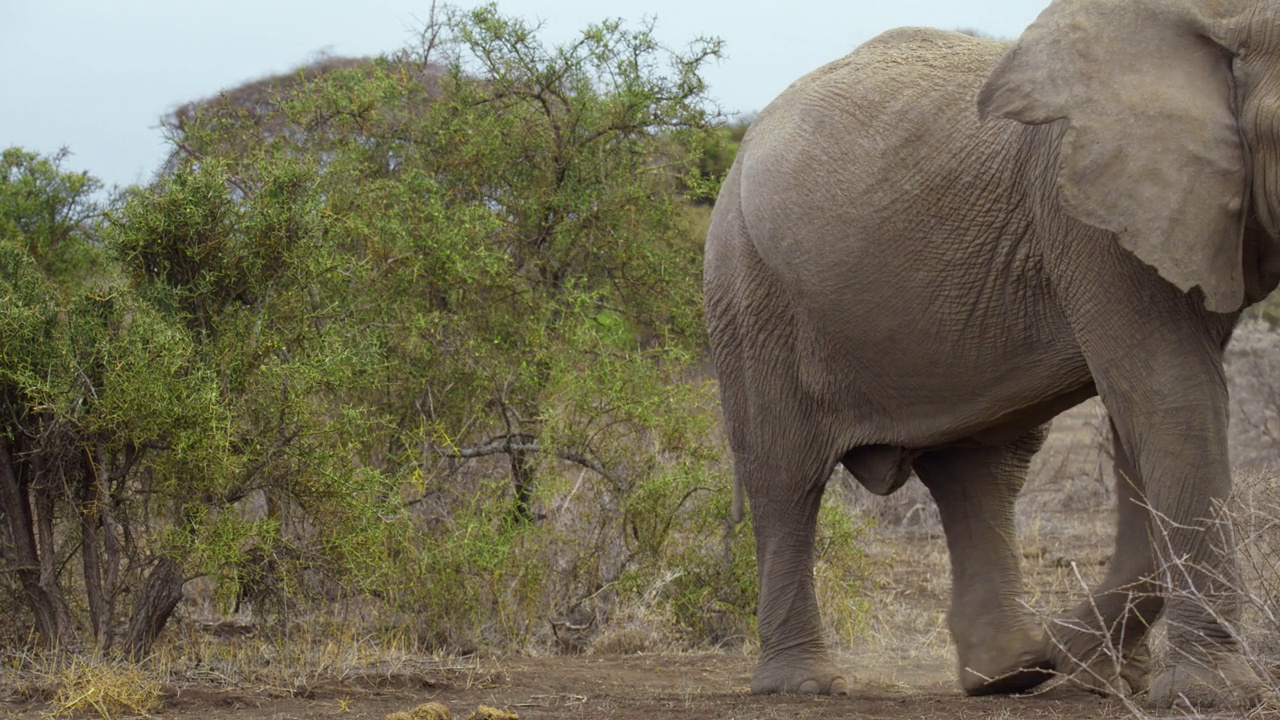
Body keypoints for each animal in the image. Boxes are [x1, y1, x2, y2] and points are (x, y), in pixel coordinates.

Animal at [706, 0, 1280, 707]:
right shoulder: (1089, 214)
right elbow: (1171, 398)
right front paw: (1206, 694)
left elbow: (1146, 414)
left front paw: (1088, 664)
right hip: (748, 285)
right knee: (784, 475)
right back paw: (806, 685)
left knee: (984, 466)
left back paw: (1014, 670)